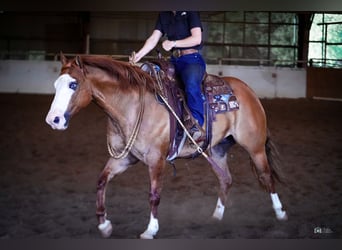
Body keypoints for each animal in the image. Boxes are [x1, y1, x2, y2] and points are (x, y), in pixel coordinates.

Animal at [44, 52, 286, 238]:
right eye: (55, 84)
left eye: (73, 84)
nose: (53, 120)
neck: (131, 106)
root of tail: (248, 92)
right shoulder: (124, 158)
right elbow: (101, 181)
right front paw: (104, 225)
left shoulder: (155, 160)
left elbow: (154, 194)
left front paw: (150, 230)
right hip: (217, 150)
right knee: (226, 179)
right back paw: (216, 216)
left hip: (255, 147)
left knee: (266, 176)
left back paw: (280, 212)